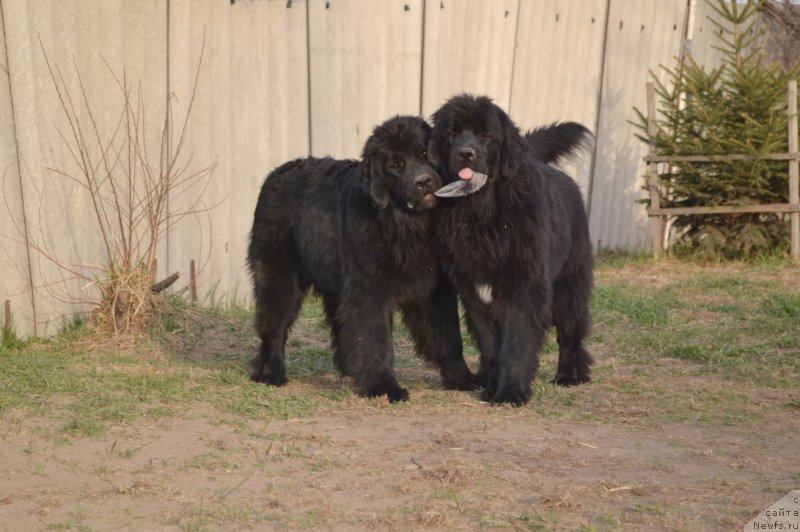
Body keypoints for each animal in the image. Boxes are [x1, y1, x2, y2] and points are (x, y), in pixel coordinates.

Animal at [432, 94, 592, 408]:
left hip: (570, 284)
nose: (465, 153)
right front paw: (493, 388)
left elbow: (516, 343)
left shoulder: (524, 289)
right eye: (452, 133)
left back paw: (570, 375)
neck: (482, 214)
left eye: (485, 135)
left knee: (570, 332)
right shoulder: (475, 293)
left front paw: (510, 392)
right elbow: (492, 346)